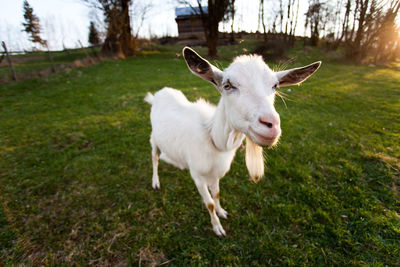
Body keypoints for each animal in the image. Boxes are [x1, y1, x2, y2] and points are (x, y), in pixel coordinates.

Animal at [145, 46, 320, 237]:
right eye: (227, 85)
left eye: (275, 86)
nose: (271, 125)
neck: (213, 138)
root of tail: (158, 94)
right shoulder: (198, 176)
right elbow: (209, 203)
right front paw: (218, 228)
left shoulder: (216, 173)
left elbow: (217, 194)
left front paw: (222, 212)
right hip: (153, 137)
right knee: (154, 157)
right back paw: (155, 182)